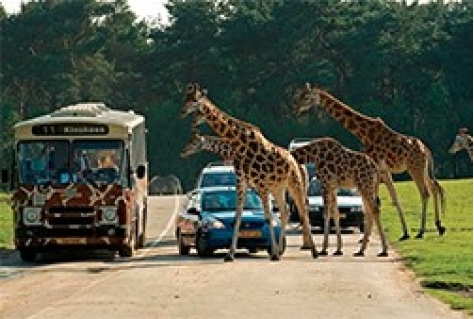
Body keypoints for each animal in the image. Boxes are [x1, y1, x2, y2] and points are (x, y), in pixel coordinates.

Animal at [181, 84, 318, 262]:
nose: (183, 113)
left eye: (194, 102)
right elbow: (238, 216)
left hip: (294, 182)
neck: (237, 143)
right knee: (285, 210)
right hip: (278, 187)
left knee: (302, 209)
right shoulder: (243, 180)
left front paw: (274, 253)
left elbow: (267, 216)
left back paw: (313, 250)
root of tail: (294, 162)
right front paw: (230, 255)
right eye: (186, 98)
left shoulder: (259, 184)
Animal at [294, 84, 446, 241]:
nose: (296, 109)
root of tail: (426, 150)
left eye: (307, 97)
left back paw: (421, 231)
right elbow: (394, 198)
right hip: (423, 168)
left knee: (425, 193)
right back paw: (439, 226)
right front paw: (405, 233)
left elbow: (374, 201)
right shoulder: (383, 170)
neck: (364, 133)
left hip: (414, 168)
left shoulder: (376, 167)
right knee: (434, 187)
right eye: (300, 95)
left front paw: (365, 237)